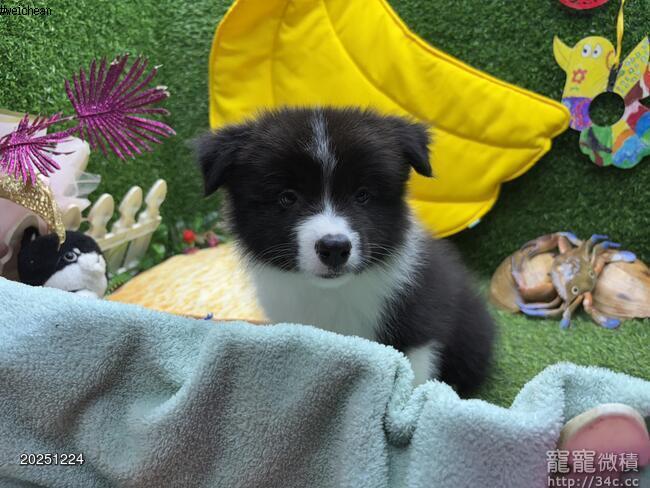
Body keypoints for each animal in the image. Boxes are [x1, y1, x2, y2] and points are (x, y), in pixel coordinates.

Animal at [196, 107, 495, 395]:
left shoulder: (418, 325)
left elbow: (412, 379)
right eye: (287, 197)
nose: (334, 248)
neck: (331, 293)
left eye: (362, 195)